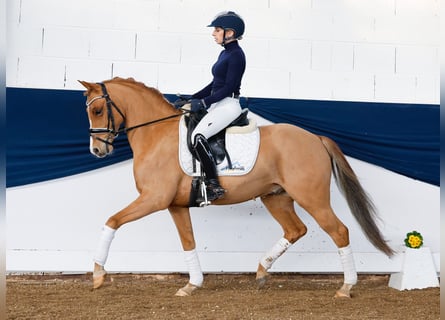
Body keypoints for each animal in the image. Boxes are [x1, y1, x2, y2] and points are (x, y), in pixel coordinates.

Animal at [80, 77, 392, 298]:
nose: (97, 151)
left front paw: (98, 274)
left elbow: (112, 221)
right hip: (276, 197)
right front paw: (192, 285)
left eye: (97, 109)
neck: (156, 135)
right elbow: (188, 242)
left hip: (312, 198)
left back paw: (346, 287)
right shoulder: (175, 205)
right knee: (295, 230)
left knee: (339, 231)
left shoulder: (154, 199)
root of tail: (316, 138)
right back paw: (262, 271)